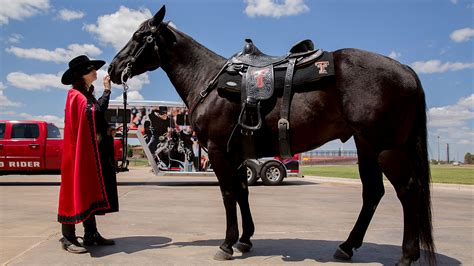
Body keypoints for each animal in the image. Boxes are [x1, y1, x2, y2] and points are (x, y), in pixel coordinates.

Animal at [109, 6, 436, 266]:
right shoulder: (237, 153)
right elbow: (243, 191)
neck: (208, 81)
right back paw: (346, 247)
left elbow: (228, 195)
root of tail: (405, 70)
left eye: (138, 36)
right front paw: (245, 239)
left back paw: (406, 256)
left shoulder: (218, 151)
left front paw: (226, 244)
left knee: (407, 191)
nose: (113, 68)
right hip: (367, 145)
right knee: (373, 193)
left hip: (387, 148)